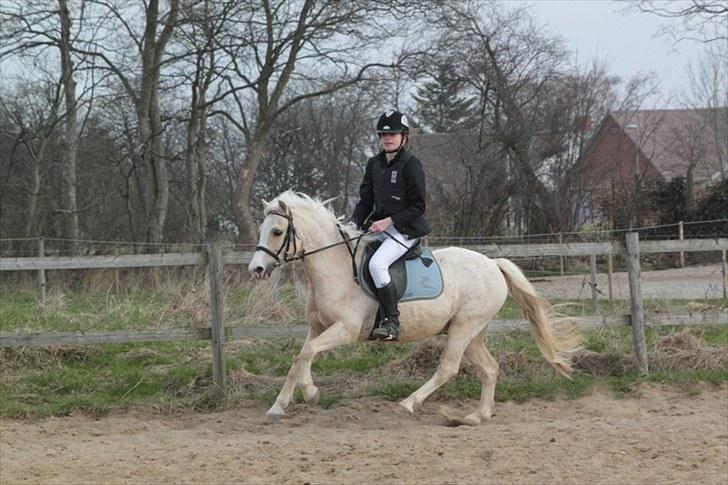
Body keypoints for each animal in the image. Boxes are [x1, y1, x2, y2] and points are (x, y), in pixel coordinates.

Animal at [248, 191, 579, 425]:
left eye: (277, 232)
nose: (257, 269)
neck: (336, 267)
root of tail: (493, 264)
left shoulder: (346, 329)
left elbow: (308, 352)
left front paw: (310, 392)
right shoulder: (317, 327)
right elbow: (300, 357)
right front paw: (280, 405)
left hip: (464, 328)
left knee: (448, 368)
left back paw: (409, 403)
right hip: (472, 332)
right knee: (489, 368)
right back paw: (476, 416)